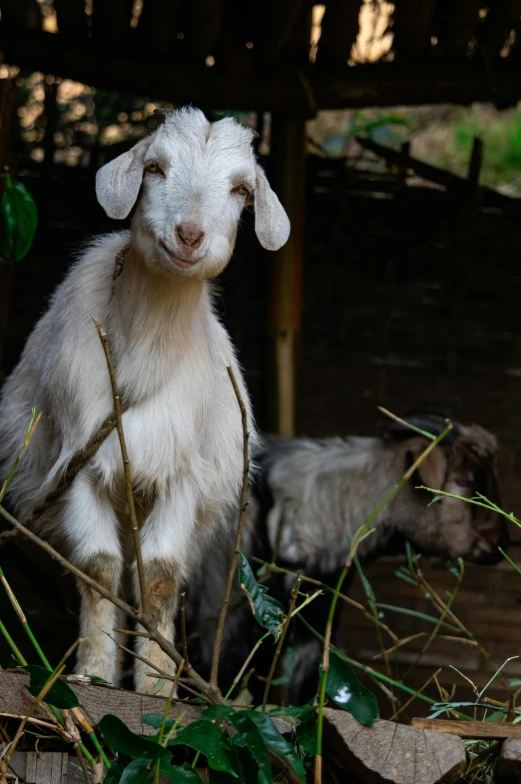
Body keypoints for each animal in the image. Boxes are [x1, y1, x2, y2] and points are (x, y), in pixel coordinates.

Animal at [0, 105, 288, 692]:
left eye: (242, 189)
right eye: (154, 167)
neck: (141, 354)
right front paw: (95, 674)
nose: (189, 234)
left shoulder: (180, 473)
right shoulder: (80, 465)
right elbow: (98, 566)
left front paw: (156, 687)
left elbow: (158, 575)